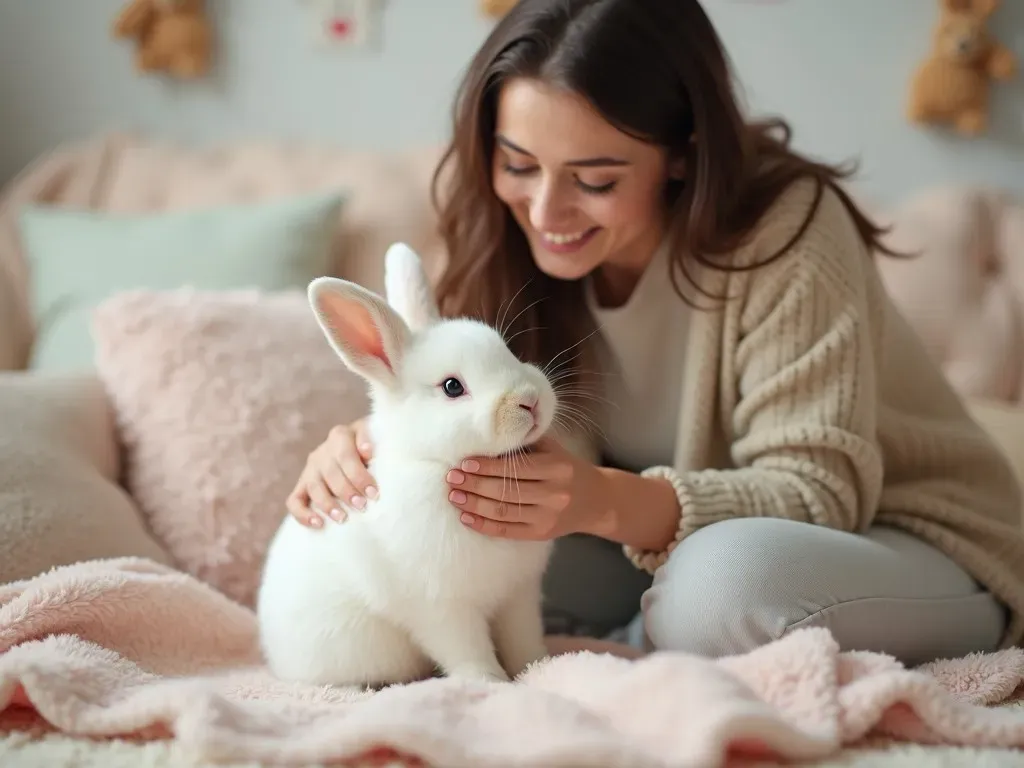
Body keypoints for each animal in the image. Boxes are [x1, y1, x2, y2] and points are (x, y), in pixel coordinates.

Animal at [258, 243, 561, 688]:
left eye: (507, 350)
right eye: (452, 387)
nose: (529, 400)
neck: (436, 464)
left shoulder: (518, 596)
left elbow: (523, 640)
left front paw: (539, 668)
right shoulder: (441, 607)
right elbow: (468, 650)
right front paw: (490, 684)